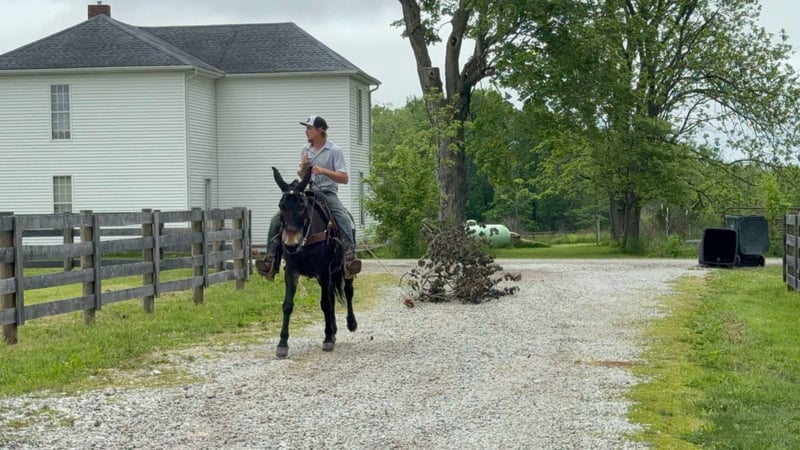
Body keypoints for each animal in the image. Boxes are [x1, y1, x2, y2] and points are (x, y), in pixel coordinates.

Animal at [271, 166, 357, 358]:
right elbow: (288, 305)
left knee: (348, 292)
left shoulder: (324, 270)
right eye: (281, 206)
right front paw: (282, 344)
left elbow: (325, 303)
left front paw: (327, 339)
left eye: (302, 206)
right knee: (332, 296)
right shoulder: (292, 270)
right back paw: (333, 330)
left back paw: (350, 324)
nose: (291, 244)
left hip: (343, 270)